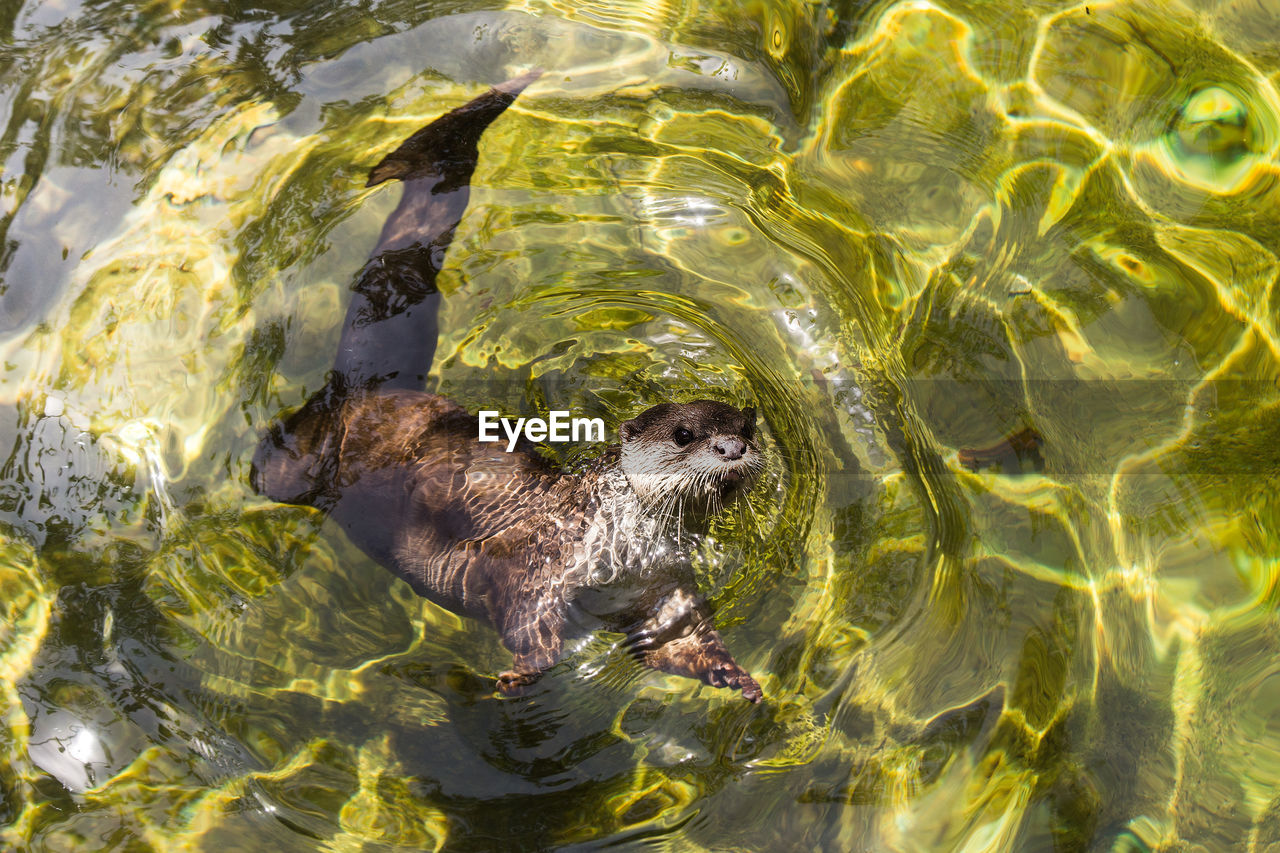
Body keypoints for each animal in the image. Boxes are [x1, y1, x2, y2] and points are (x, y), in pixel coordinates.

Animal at [254, 73, 762, 696]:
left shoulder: (655, 590)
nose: (733, 448)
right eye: (685, 434)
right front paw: (519, 676)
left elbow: (678, 639)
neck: (615, 546)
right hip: (315, 455)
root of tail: (376, 386)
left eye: (747, 426)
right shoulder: (535, 566)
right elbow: (526, 619)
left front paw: (734, 676)